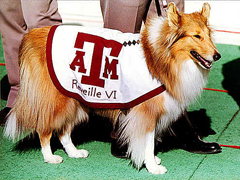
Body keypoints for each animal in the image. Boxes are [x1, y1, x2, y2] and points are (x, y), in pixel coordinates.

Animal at [4, 2, 221, 174]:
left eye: (209, 35)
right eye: (196, 36)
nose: (217, 56)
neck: (161, 57)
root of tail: (34, 34)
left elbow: (148, 141)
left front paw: (150, 160)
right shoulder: (146, 113)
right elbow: (148, 142)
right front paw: (152, 166)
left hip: (74, 98)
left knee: (64, 131)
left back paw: (74, 152)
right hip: (57, 100)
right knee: (44, 129)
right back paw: (50, 157)